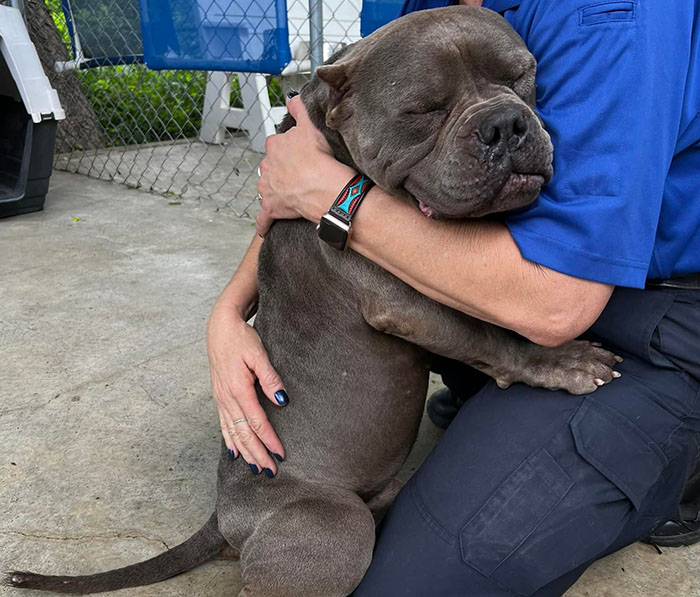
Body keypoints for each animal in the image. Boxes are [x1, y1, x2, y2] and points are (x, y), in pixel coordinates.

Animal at [9, 5, 616, 596]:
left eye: (521, 76)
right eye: (424, 109)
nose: (505, 123)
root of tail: (223, 516)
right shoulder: (407, 305)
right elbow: (491, 337)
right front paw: (561, 362)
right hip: (334, 524)